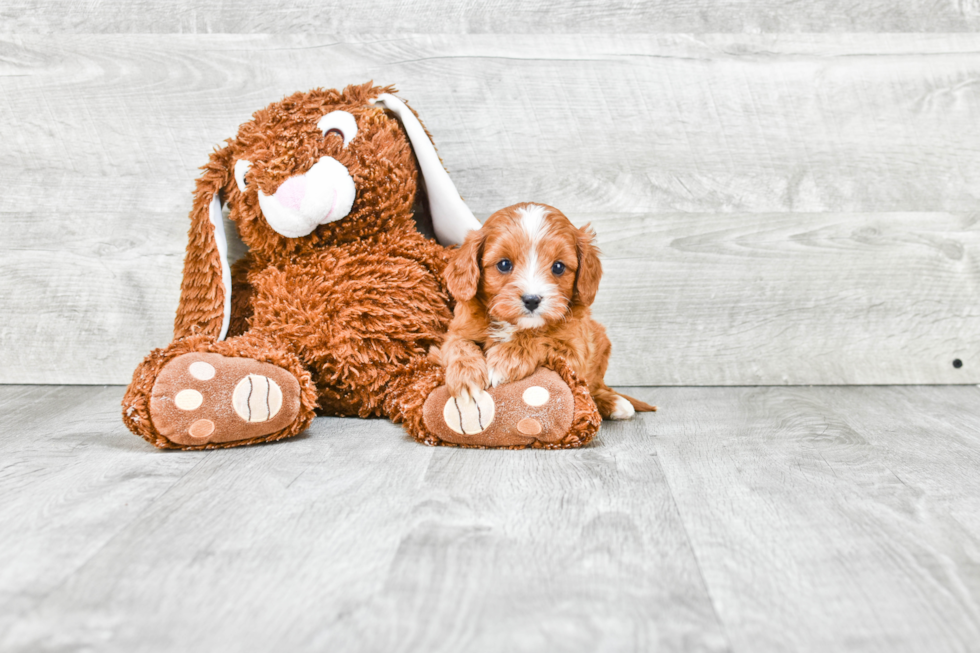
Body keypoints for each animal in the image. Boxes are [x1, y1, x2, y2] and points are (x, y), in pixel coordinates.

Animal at [432, 201, 656, 420]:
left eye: (558, 267)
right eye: (504, 264)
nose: (532, 300)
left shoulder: (576, 350)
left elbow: (542, 338)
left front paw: (506, 359)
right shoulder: (456, 331)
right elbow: (459, 345)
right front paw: (465, 378)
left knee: (592, 387)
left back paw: (614, 402)